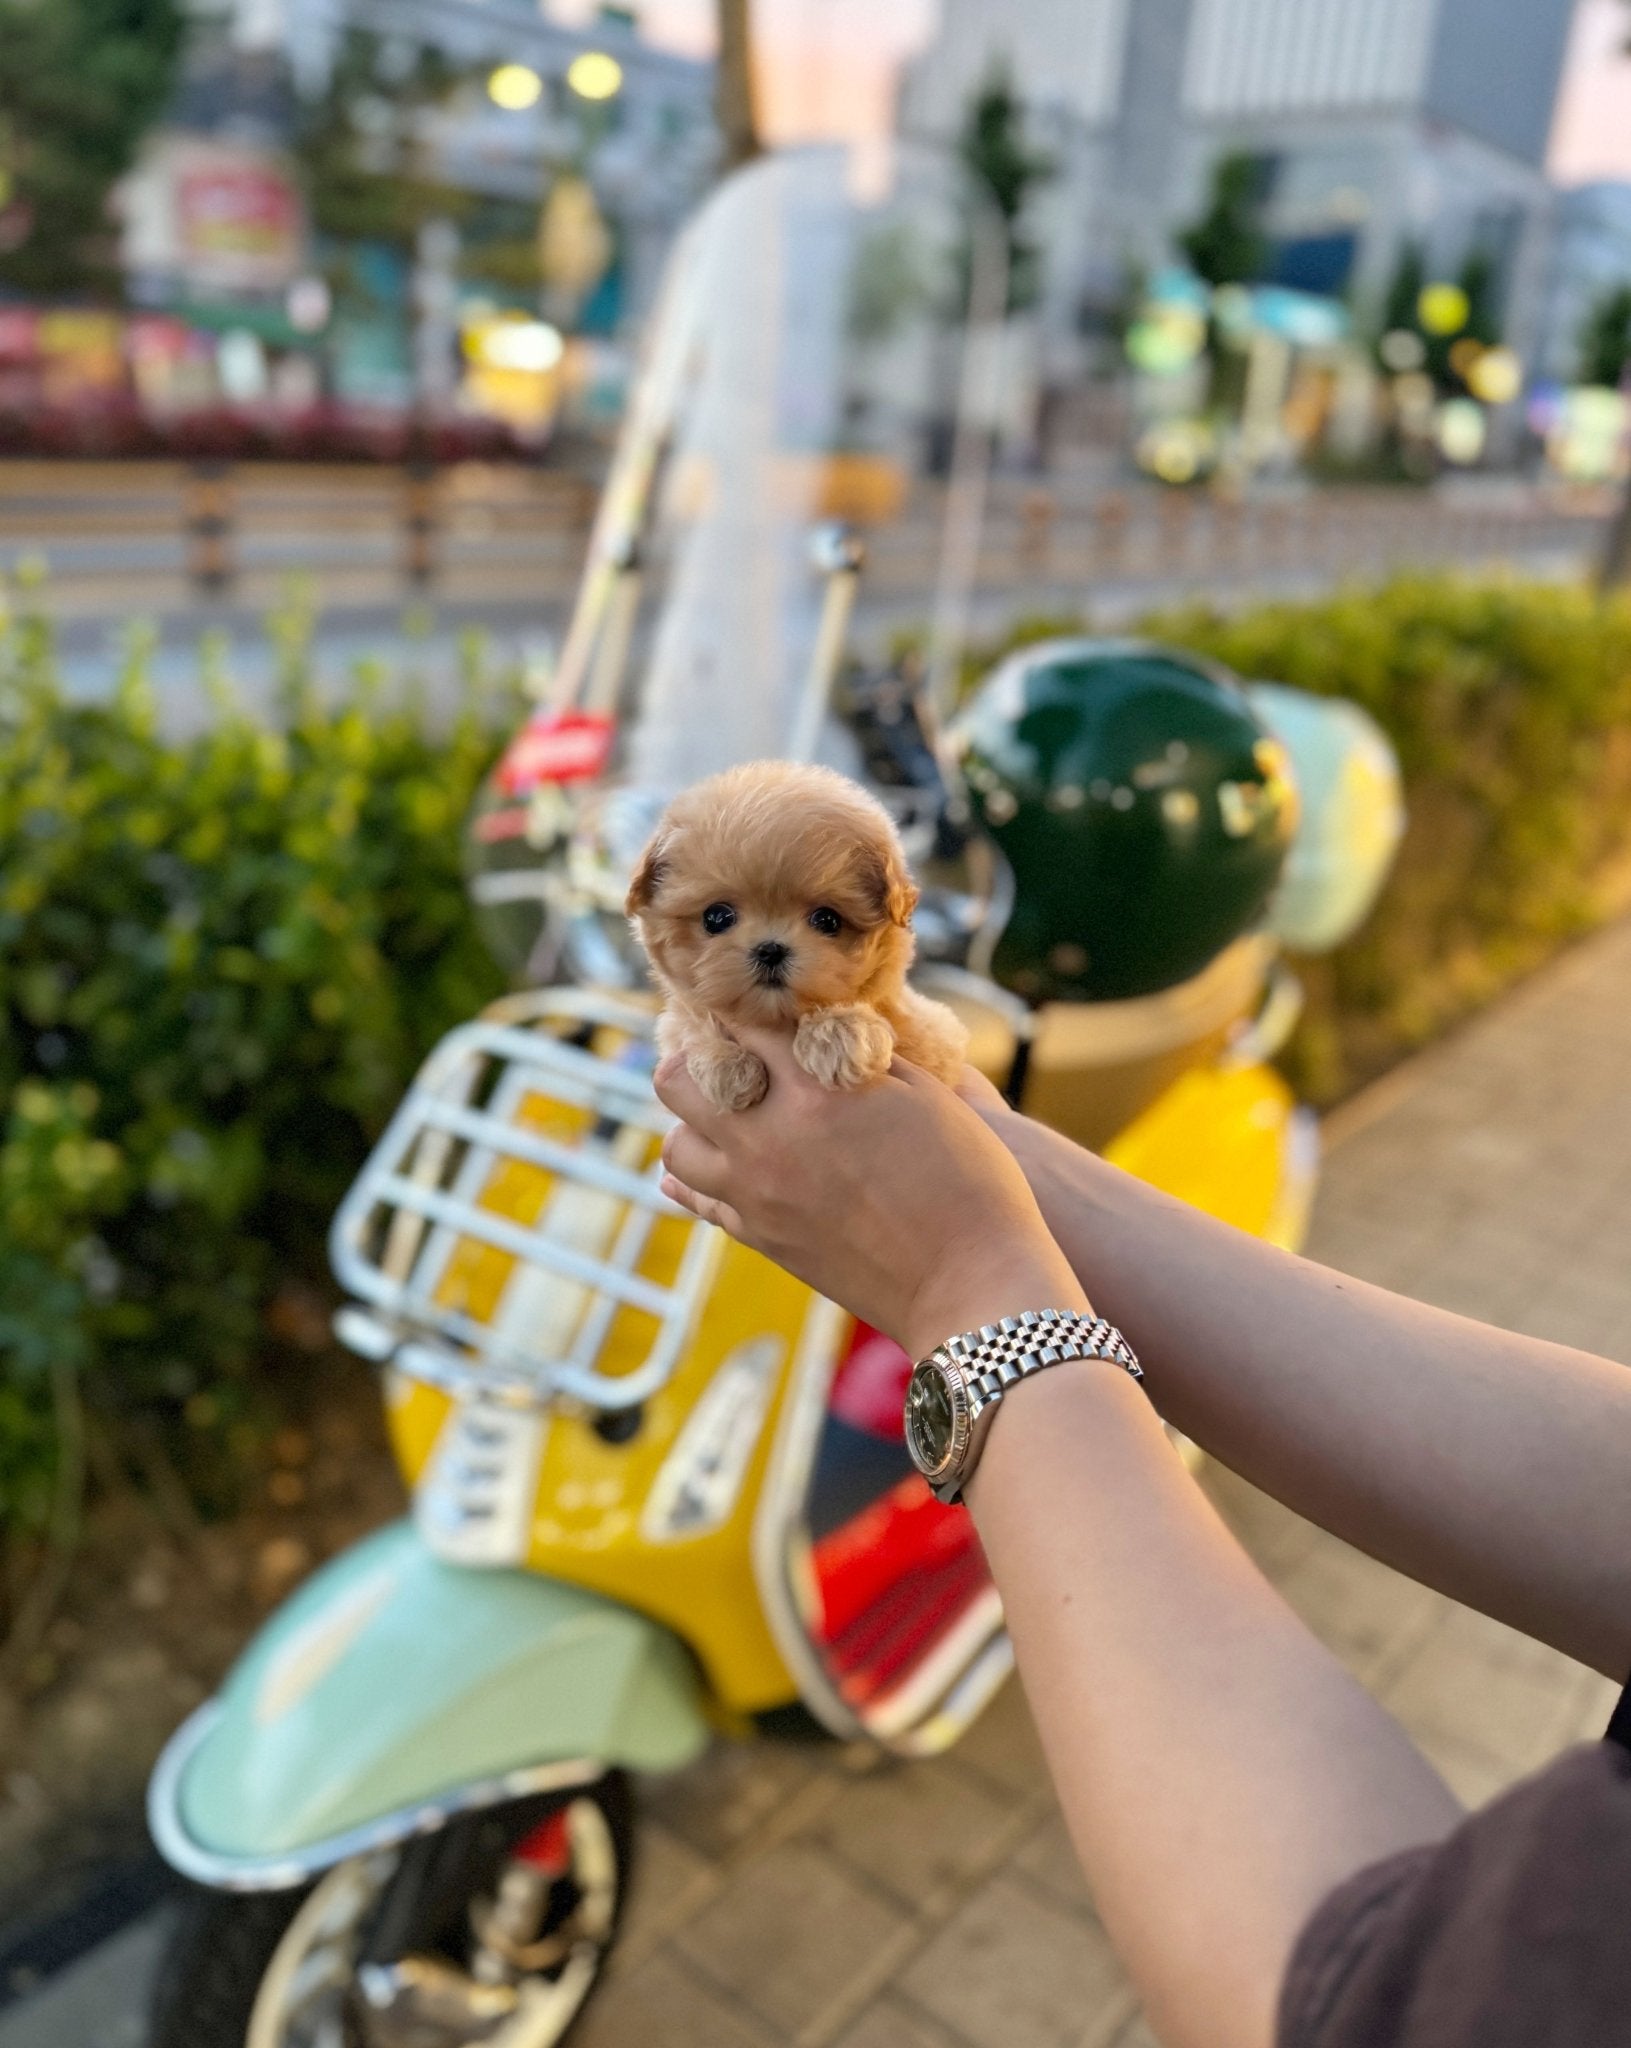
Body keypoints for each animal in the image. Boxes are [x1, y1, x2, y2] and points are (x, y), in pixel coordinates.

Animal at [622, 761, 967, 1114]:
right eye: (716, 917)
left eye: (827, 920)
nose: (770, 950)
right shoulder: (677, 1026)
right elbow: (689, 1022)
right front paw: (726, 1064)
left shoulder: (936, 1037)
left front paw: (842, 1031)